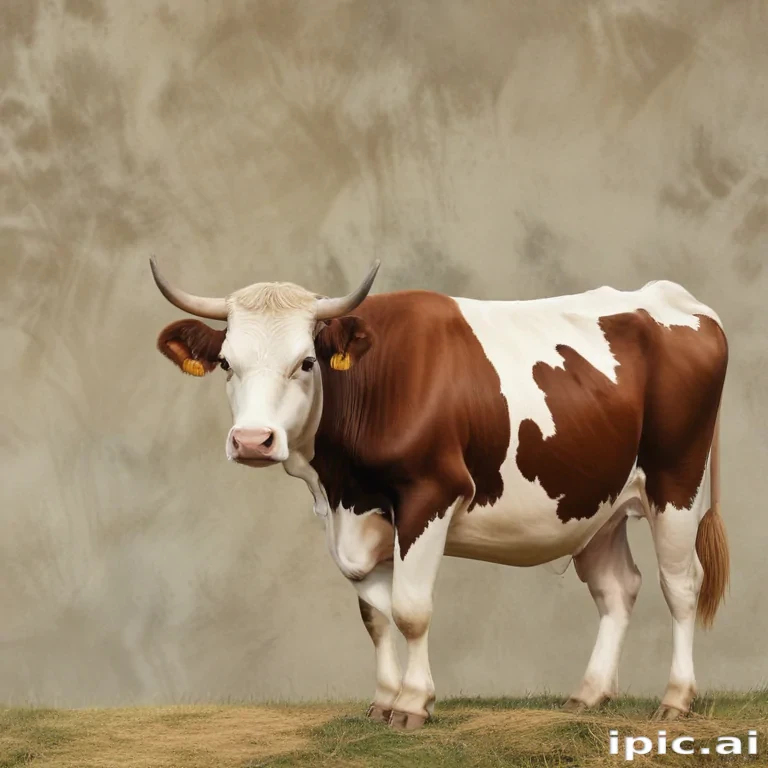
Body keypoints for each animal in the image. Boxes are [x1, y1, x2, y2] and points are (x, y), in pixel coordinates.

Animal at [150, 257, 729, 730]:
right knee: (617, 588)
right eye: (228, 363)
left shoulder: (430, 495)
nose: (253, 441)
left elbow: (410, 608)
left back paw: (676, 699)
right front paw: (383, 703)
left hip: (678, 483)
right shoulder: (355, 517)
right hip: (596, 503)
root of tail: (674, 297)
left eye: (306, 363)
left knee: (681, 585)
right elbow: (374, 614)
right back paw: (588, 695)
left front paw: (413, 705)